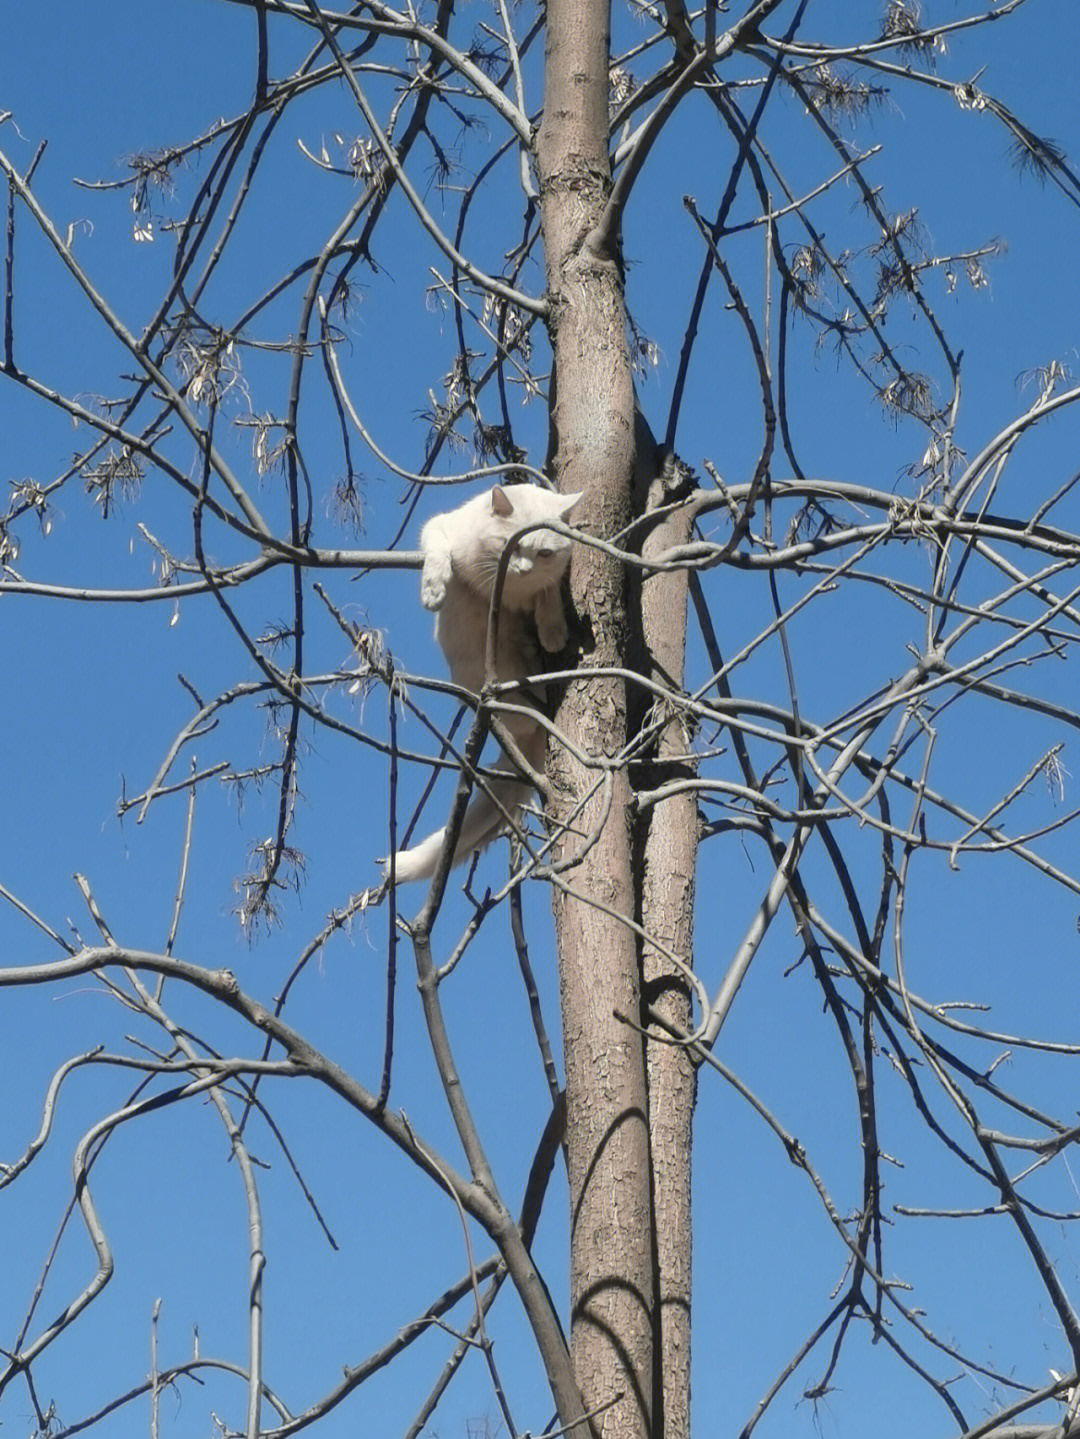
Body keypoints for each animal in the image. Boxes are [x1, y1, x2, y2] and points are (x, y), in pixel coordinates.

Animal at [388, 483, 583, 880]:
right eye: (511, 546)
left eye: (543, 553)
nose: (523, 570)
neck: (512, 592)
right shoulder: (442, 527)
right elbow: (438, 555)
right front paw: (434, 590)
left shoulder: (548, 582)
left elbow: (549, 593)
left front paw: (553, 630)